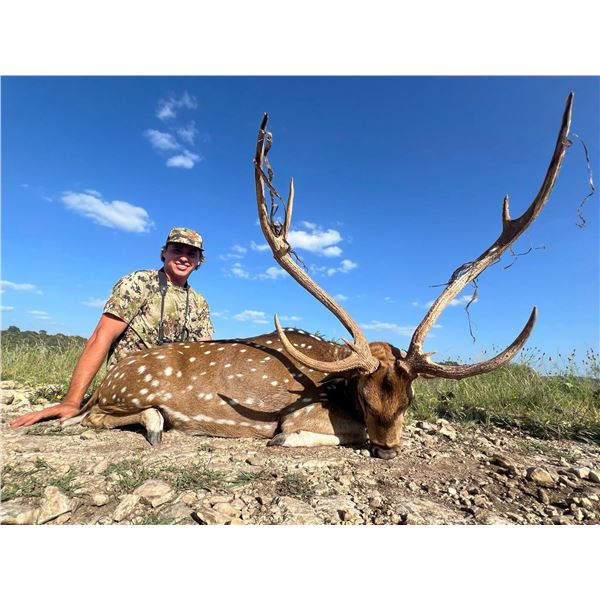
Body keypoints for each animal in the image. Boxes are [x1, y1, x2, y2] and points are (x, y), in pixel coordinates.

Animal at [63, 93, 574, 459]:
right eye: (364, 399)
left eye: (409, 401)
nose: (388, 452)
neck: (338, 383)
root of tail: (108, 377)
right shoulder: (304, 414)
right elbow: (312, 433)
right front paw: (285, 439)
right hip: (121, 394)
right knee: (86, 418)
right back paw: (153, 423)